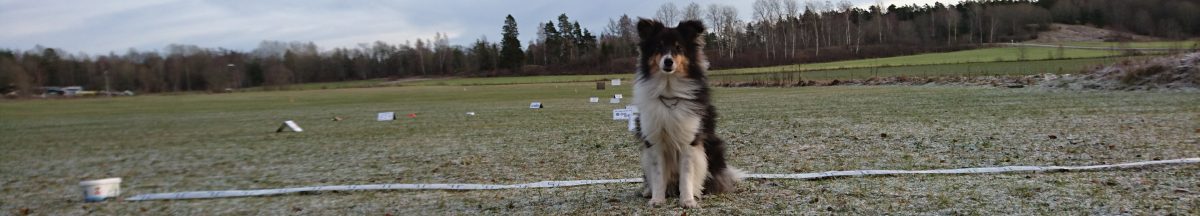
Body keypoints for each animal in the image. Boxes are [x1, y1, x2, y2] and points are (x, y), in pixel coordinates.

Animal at [628, 19, 739, 208]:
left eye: (678, 48)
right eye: (659, 47)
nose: (668, 62)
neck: (669, 91)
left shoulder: (688, 141)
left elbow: (687, 174)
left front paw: (688, 200)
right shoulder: (654, 141)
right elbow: (658, 175)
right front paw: (657, 199)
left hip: (713, 149)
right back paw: (648, 191)